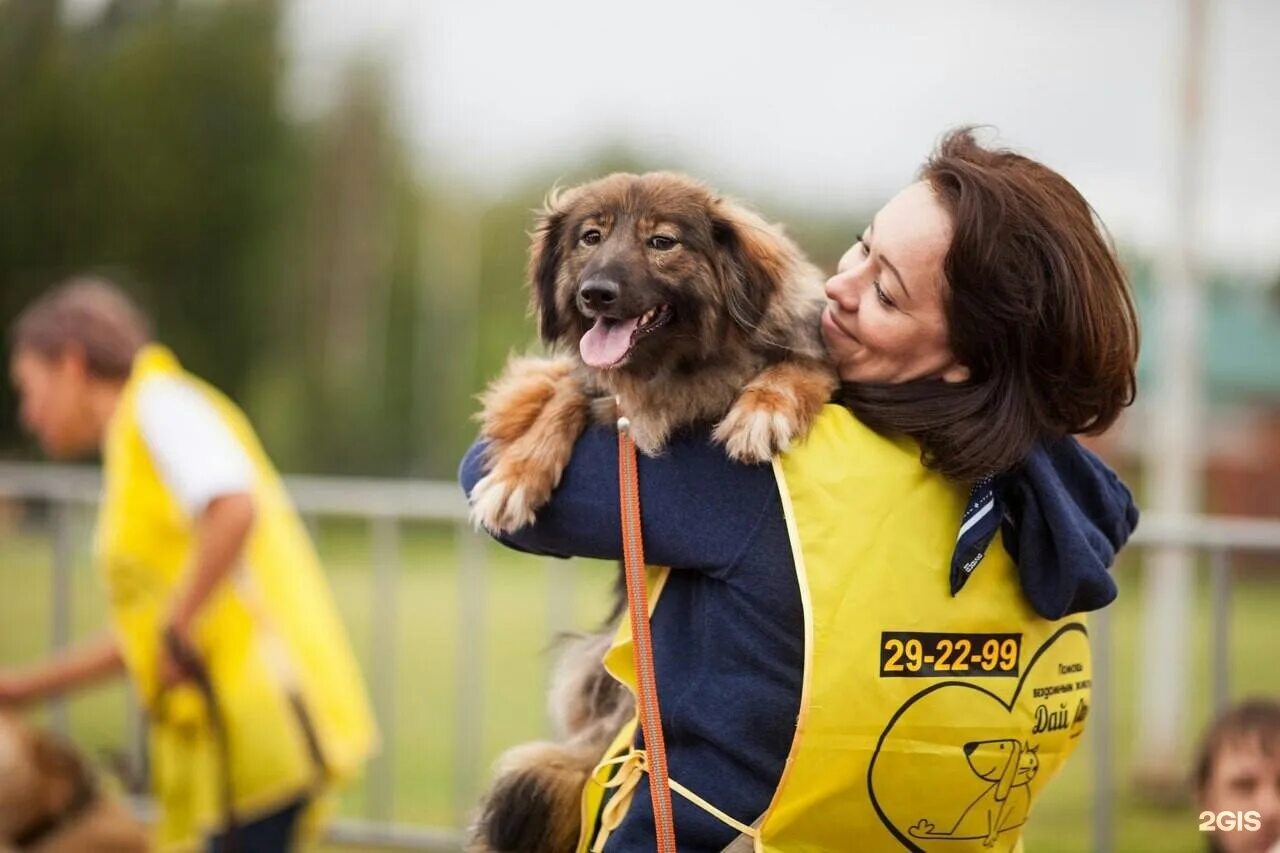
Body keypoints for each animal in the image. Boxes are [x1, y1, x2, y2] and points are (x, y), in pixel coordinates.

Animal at [471, 172, 839, 850]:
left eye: (661, 242)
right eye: (590, 237)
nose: (595, 294)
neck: (675, 371)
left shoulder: (811, 359)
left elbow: (798, 365)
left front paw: (764, 408)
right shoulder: (587, 387)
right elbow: (565, 389)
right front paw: (516, 475)